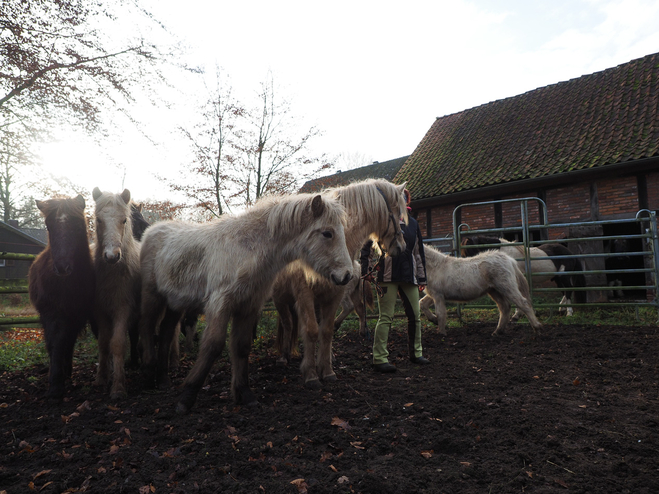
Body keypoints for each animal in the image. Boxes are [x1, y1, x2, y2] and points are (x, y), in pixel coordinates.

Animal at [27, 195, 95, 400]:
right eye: (49, 226)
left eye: (78, 225)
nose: (62, 267)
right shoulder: (52, 313)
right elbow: (55, 343)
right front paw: (55, 385)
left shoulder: (77, 315)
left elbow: (67, 342)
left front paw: (64, 375)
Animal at [272, 179, 408, 388]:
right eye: (398, 213)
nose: (402, 247)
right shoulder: (304, 294)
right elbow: (311, 330)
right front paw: (311, 374)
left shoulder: (335, 293)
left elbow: (326, 330)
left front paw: (327, 370)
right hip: (280, 299)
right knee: (287, 324)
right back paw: (283, 356)